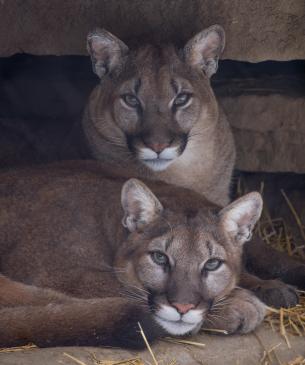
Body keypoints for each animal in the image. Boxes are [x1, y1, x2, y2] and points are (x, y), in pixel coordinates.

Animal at [0, 161, 266, 346]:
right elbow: (124, 288)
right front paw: (238, 305)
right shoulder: (61, 272)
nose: (182, 307)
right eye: (159, 257)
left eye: (212, 264)